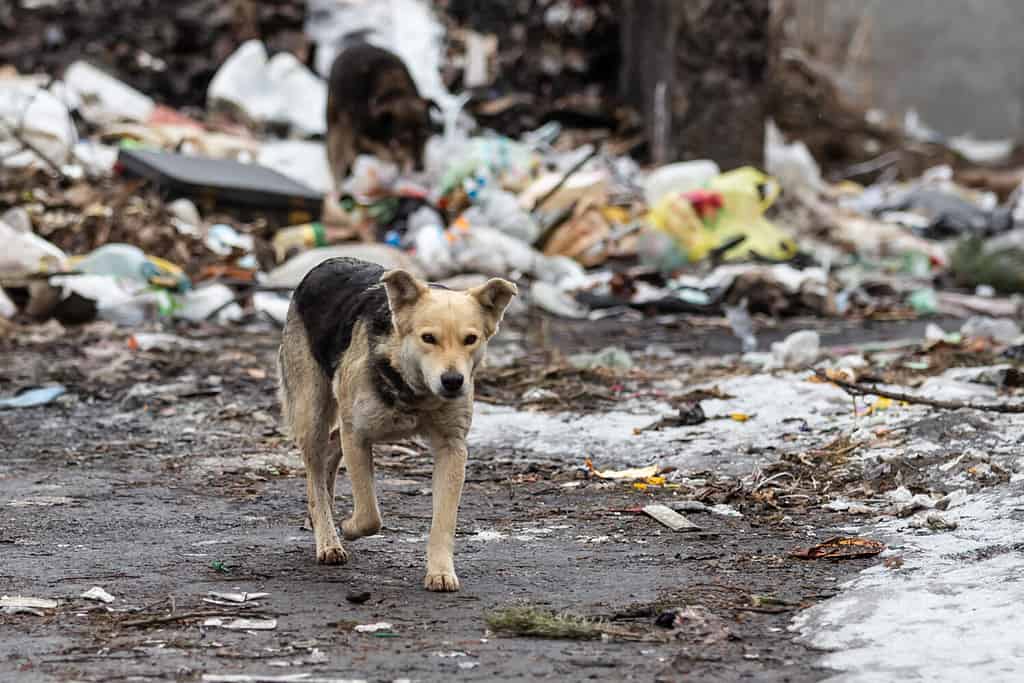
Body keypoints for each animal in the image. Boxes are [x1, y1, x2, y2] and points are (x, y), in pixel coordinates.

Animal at [276, 259, 516, 589]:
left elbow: (444, 520)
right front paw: (349, 526)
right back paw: (328, 540)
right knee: (315, 478)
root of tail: (324, 264)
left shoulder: (452, 447)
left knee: (331, 450)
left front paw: (440, 571)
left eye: (470, 339)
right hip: (311, 414)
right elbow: (369, 515)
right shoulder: (358, 436)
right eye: (428, 338)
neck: (413, 388)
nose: (453, 381)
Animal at [325, 43, 434, 188]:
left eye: (425, 136)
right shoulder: (355, 144)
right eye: (403, 139)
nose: (419, 168)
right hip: (337, 132)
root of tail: (351, 47)